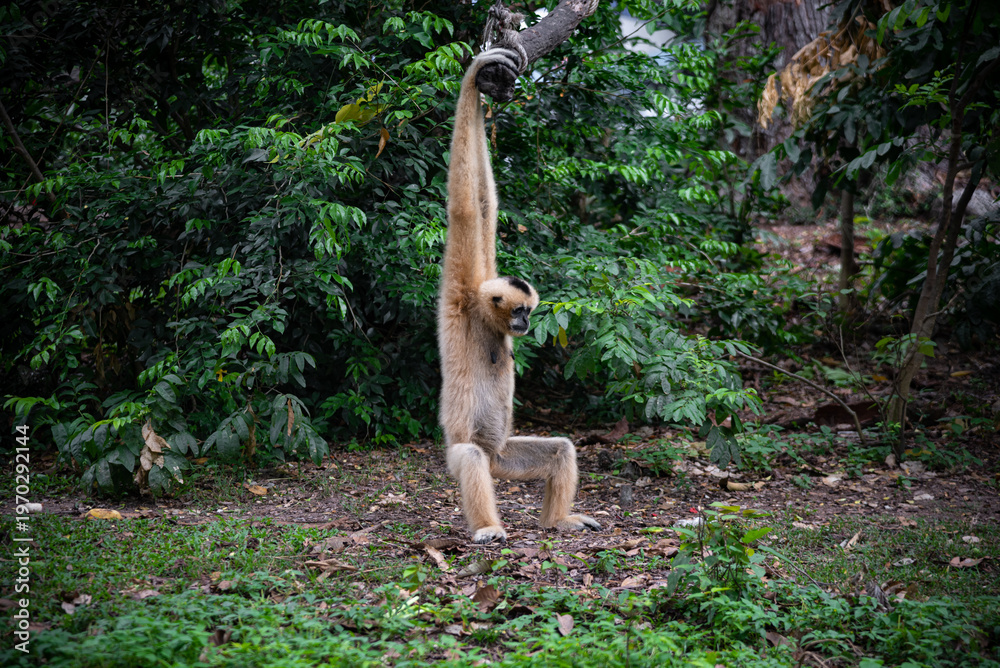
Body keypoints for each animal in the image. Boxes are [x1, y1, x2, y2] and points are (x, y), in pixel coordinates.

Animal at [437, 47, 600, 544]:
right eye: (521, 312)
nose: (526, 324)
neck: (483, 319)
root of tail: (496, 459)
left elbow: (484, 205)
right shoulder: (460, 294)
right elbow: (465, 209)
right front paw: (475, 75)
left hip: (507, 458)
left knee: (560, 448)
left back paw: (556, 520)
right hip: (465, 454)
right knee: (472, 459)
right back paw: (489, 527)